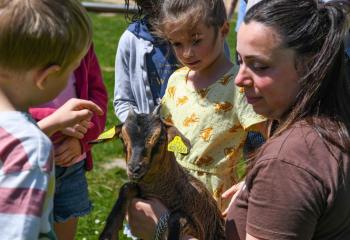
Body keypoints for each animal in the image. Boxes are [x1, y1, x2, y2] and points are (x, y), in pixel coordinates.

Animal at [94, 108, 224, 240]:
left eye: (161, 139)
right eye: (122, 138)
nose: (134, 168)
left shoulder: (197, 226)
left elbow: (175, 217)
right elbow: (127, 187)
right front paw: (108, 234)